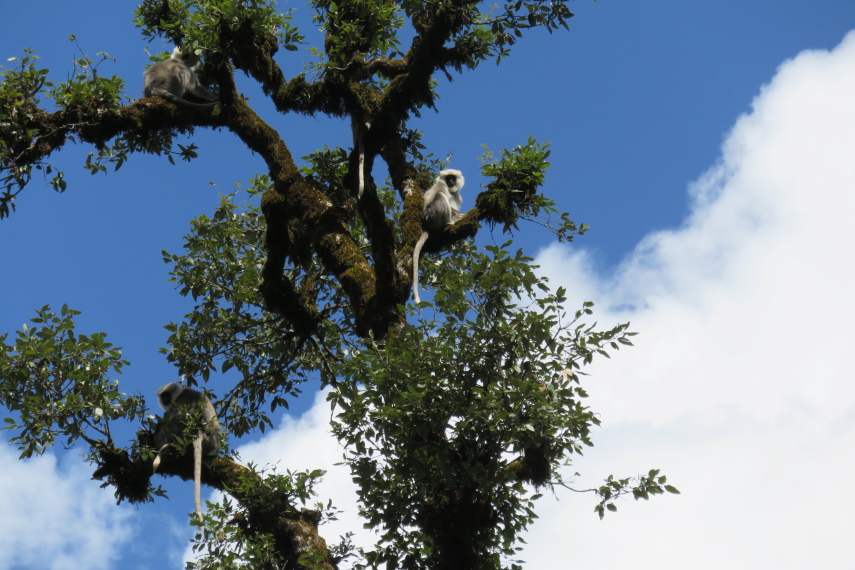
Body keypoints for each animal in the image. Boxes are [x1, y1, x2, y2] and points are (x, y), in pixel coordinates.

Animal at [412, 168, 464, 304]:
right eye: (448, 178)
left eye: (453, 178)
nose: (450, 182)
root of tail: (427, 226)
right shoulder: (440, 186)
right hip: (432, 216)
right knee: (439, 196)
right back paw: (448, 222)